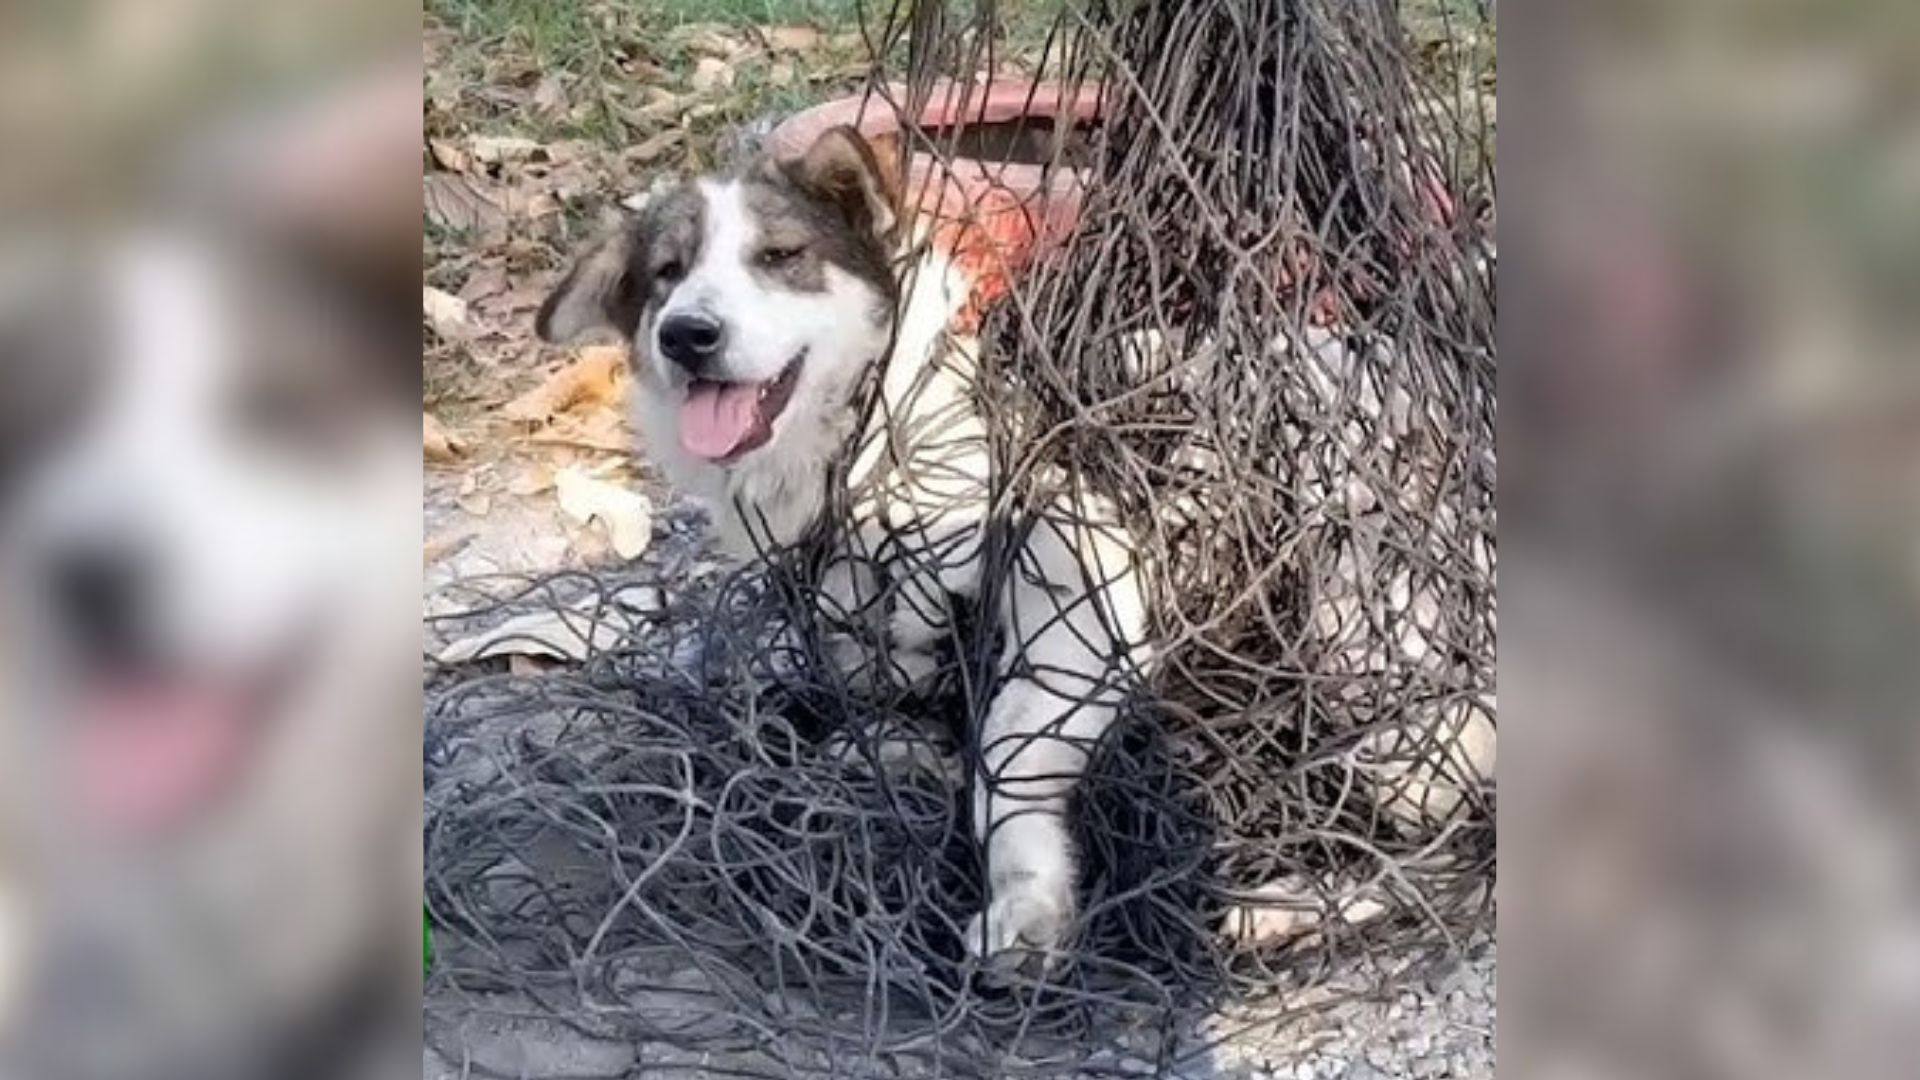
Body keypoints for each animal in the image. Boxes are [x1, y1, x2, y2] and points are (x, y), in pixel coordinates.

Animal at [533, 127, 1144, 968]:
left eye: (780, 255)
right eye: (667, 272)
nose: (686, 335)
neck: (865, 436)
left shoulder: (1079, 557)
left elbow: (1010, 745)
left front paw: (1027, 895)